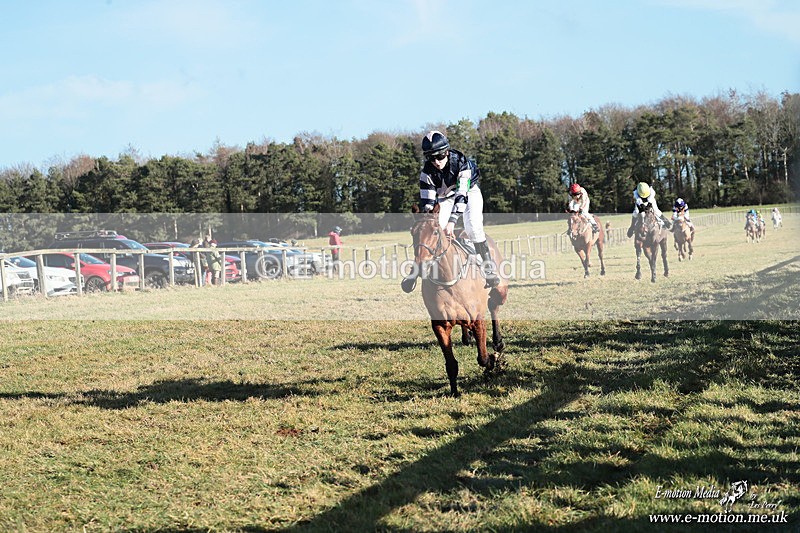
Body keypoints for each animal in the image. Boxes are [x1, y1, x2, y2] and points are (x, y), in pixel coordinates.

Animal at [409, 204, 509, 397]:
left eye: (435, 231)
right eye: (412, 232)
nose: (422, 265)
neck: (449, 278)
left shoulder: (477, 319)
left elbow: (483, 357)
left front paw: (493, 361)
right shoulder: (440, 325)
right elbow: (451, 364)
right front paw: (454, 391)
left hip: (501, 290)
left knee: (494, 306)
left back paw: (498, 341)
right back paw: (467, 336)